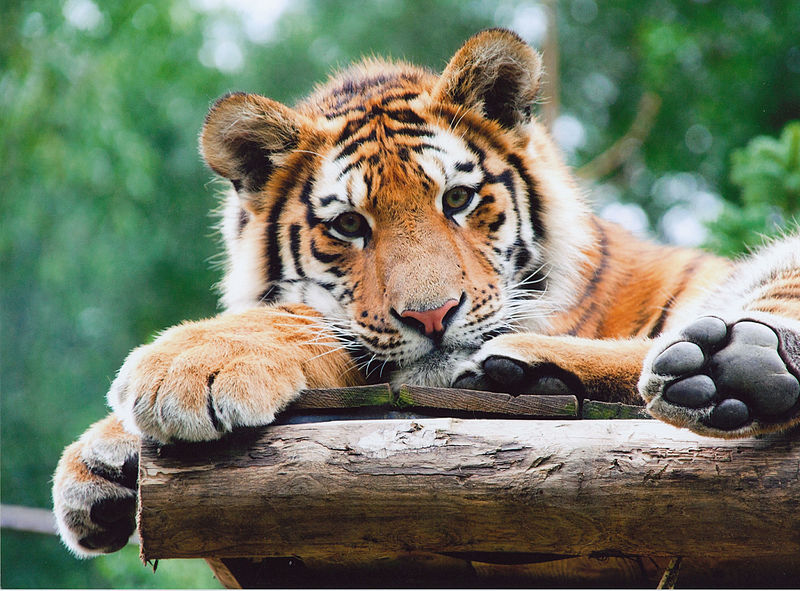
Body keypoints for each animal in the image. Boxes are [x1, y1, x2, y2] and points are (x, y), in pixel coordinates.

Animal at [53, 28, 796, 560]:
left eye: (458, 199)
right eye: (349, 226)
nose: (433, 316)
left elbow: (298, 322)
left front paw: (181, 369)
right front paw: (100, 464)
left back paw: (722, 369)